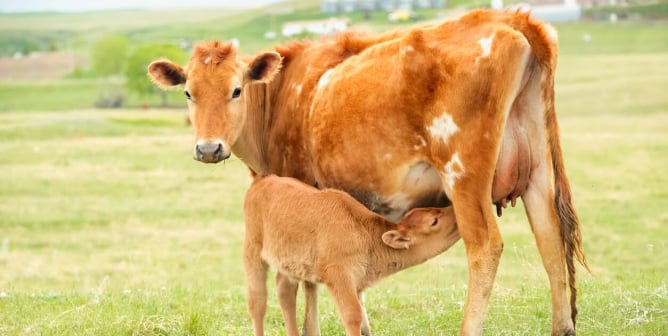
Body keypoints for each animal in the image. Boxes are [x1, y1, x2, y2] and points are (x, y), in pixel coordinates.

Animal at [244, 175, 460, 334]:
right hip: (253, 252)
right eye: (434, 221)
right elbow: (353, 315)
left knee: (285, 293)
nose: (455, 211)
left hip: (288, 264)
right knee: (257, 302)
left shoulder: (357, 283)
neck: (365, 232)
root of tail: (263, 180)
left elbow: (364, 323)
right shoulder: (339, 276)